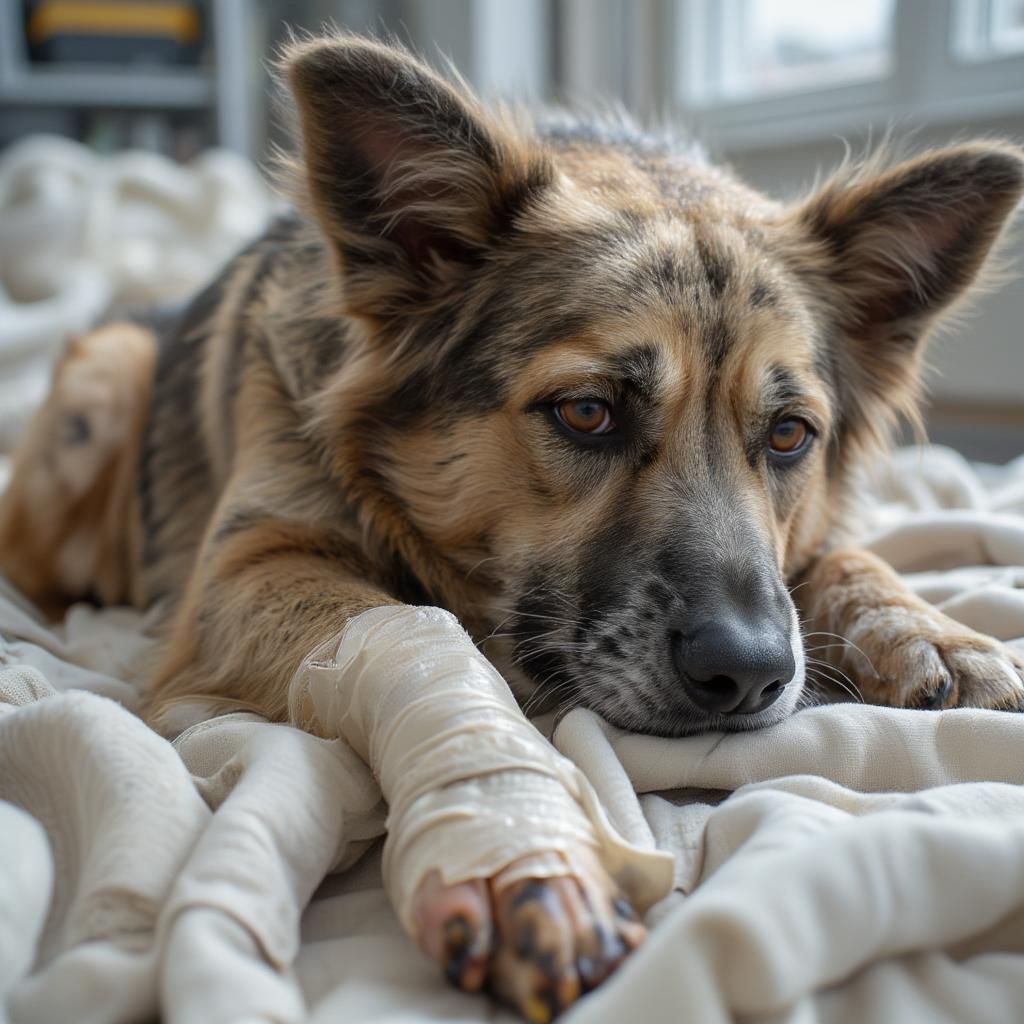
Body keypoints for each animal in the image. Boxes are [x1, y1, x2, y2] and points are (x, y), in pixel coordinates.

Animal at [2, 32, 1024, 1024]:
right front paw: (515, 841)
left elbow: (848, 558)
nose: (749, 675)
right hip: (104, 388)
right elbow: (422, 638)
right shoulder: (254, 562)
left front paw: (936, 633)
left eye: (788, 436)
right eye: (587, 413)